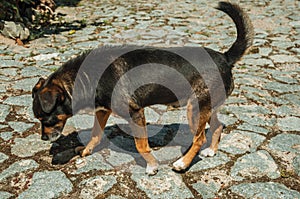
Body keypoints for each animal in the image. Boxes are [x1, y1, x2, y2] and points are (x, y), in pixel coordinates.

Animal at [32, 1, 253, 176]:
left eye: (46, 119)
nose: (43, 138)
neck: (87, 77)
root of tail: (224, 57)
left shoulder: (135, 113)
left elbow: (141, 145)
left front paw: (152, 166)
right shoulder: (102, 111)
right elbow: (95, 134)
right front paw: (86, 151)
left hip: (195, 109)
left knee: (199, 138)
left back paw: (182, 163)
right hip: (207, 106)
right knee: (218, 126)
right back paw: (211, 150)